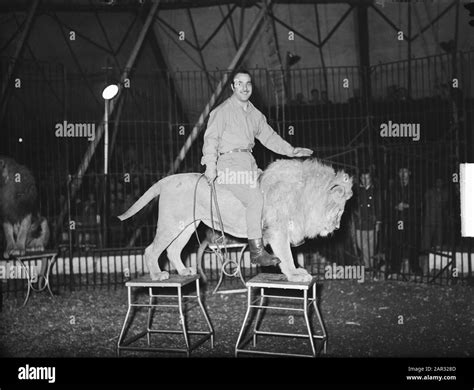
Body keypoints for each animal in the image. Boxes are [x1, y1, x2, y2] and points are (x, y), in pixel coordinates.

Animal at [119, 158, 352, 284]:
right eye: (340, 211)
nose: (338, 227)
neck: (305, 195)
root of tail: (166, 180)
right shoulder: (277, 230)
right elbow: (286, 256)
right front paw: (295, 274)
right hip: (170, 224)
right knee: (151, 250)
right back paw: (157, 275)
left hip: (186, 226)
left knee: (172, 250)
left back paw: (184, 271)